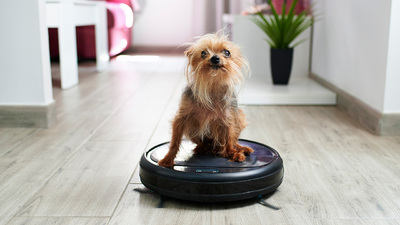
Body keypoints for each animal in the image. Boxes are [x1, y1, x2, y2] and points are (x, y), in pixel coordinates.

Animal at [157, 32, 253, 169]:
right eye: (203, 53)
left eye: (227, 52)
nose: (215, 58)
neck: (212, 85)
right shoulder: (181, 118)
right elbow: (175, 141)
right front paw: (168, 159)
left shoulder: (228, 120)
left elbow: (229, 138)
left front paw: (233, 153)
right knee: (204, 144)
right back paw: (203, 148)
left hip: (240, 116)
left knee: (232, 141)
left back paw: (239, 149)